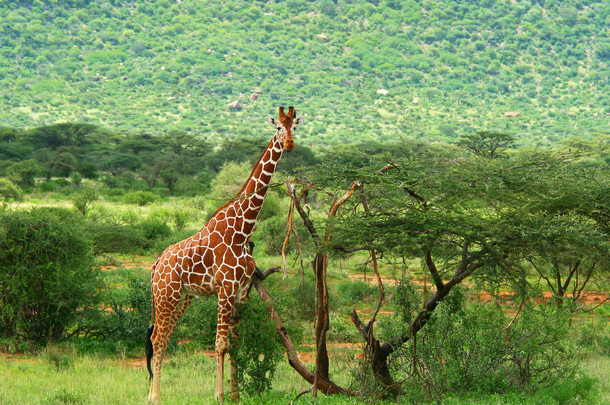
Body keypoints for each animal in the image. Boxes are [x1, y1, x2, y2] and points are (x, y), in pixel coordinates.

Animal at [145, 105, 302, 402]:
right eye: (278, 127)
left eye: (295, 127)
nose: (289, 144)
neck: (242, 230)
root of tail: (157, 263)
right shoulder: (225, 289)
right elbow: (219, 344)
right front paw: (219, 395)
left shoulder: (240, 293)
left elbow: (234, 344)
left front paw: (235, 394)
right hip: (165, 296)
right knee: (157, 338)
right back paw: (155, 397)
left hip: (183, 298)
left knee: (164, 336)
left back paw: (152, 394)